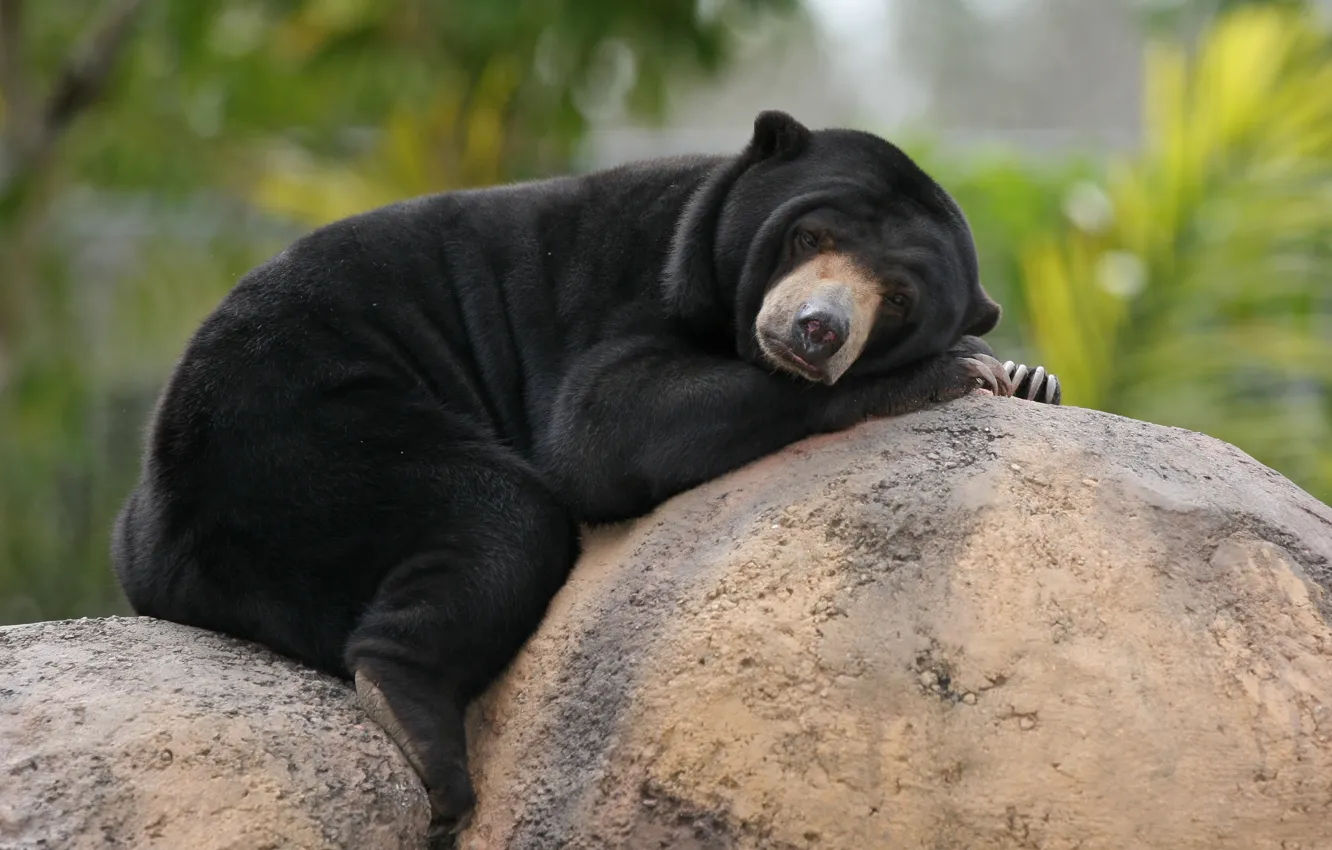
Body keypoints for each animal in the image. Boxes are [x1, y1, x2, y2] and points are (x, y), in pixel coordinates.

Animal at [111, 110, 1061, 844]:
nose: (818, 330)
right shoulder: (627, 288)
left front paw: (1029, 377)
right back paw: (420, 733)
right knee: (501, 518)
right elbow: (602, 429)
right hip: (296, 428)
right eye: (810, 237)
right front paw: (958, 369)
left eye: (896, 298)